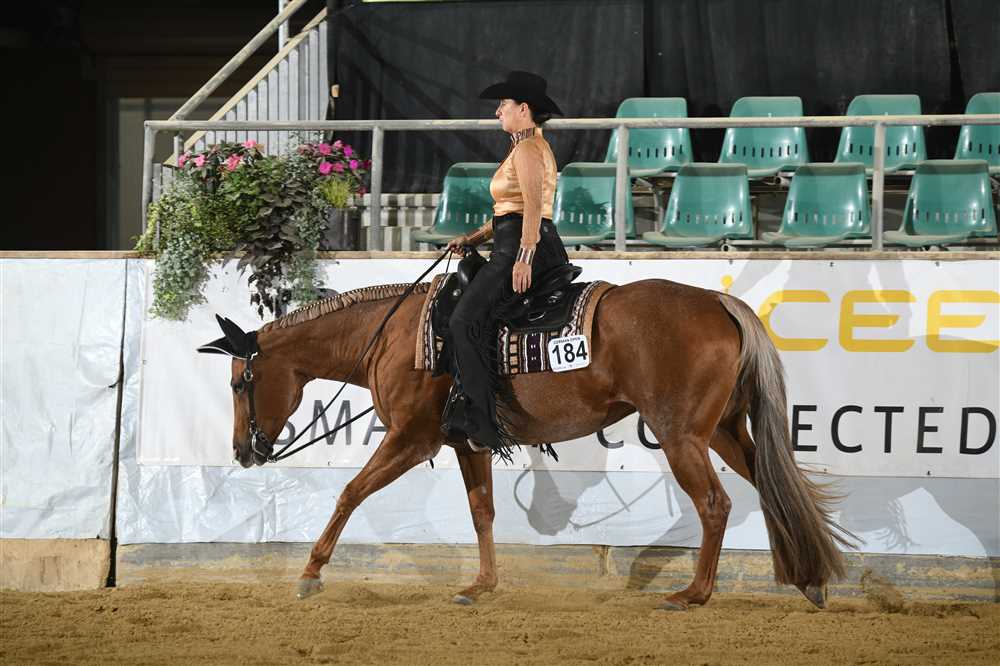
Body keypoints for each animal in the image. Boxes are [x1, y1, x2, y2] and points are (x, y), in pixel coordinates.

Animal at [199, 277, 854, 610]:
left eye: (239, 382)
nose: (241, 451)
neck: (396, 334)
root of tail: (719, 301)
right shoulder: (467, 444)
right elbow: (483, 511)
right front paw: (480, 585)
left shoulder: (411, 438)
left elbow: (350, 493)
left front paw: (310, 572)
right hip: (721, 430)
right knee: (771, 485)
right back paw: (809, 579)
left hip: (680, 434)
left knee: (715, 505)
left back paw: (693, 593)